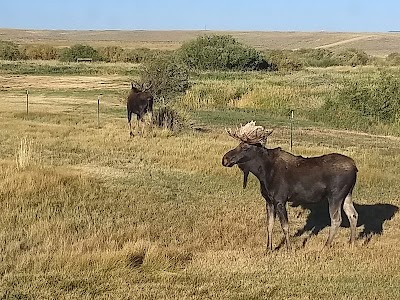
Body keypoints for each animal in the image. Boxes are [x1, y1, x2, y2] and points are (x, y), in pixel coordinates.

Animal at [222, 120, 360, 250]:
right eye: (238, 144)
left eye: (245, 147)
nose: (225, 159)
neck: (262, 172)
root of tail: (355, 167)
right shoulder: (269, 201)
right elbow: (269, 225)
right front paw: (268, 248)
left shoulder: (280, 200)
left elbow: (285, 226)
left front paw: (288, 249)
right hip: (347, 194)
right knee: (353, 214)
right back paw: (351, 243)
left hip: (335, 196)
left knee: (336, 219)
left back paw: (326, 246)